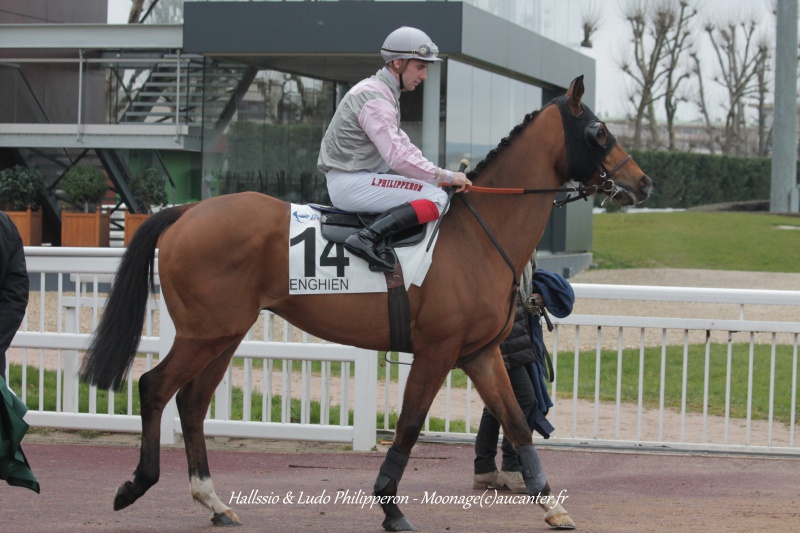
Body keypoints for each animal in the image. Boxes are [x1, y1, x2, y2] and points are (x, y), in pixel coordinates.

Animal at [78, 76, 648, 532]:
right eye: (599, 132)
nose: (641, 182)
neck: (478, 235)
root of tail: (186, 210)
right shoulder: (438, 351)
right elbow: (410, 425)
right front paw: (391, 507)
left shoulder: (480, 353)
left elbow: (516, 421)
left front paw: (552, 505)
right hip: (204, 333)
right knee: (155, 387)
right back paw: (137, 484)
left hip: (225, 334)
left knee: (192, 403)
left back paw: (214, 502)